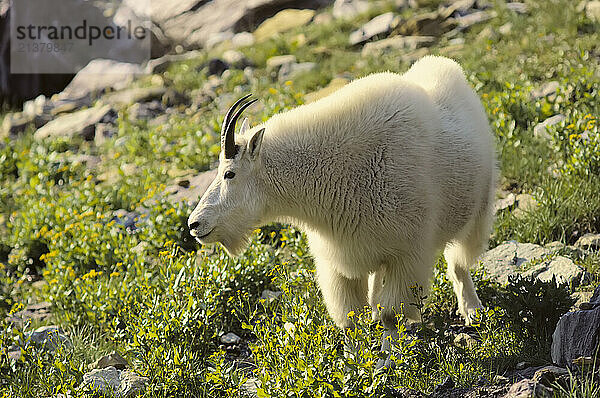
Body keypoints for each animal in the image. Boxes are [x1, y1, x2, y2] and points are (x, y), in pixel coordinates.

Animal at [188, 55, 496, 354]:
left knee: (459, 263)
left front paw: (387, 361)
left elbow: (391, 313)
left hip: (478, 208)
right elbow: (349, 319)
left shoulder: (408, 254)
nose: (194, 224)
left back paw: (472, 310)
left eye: (229, 173)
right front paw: (353, 361)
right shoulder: (338, 260)